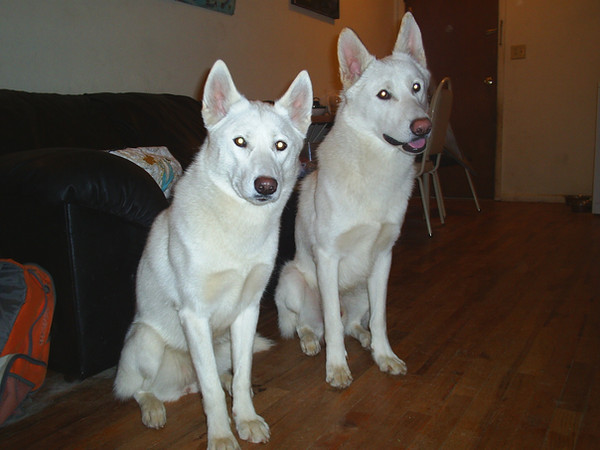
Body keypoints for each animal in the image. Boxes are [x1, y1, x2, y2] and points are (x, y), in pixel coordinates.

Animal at [114, 59, 312, 449]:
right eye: (240, 142)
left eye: (281, 146)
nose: (267, 186)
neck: (239, 226)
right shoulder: (195, 315)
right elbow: (211, 395)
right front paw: (221, 435)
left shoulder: (248, 311)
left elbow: (241, 377)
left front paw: (246, 419)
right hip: (146, 342)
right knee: (140, 389)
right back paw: (153, 409)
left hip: (221, 344)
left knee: (220, 375)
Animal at [274, 12, 431, 389]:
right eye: (384, 95)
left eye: (416, 88)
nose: (424, 127)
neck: (376, 169)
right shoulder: (328, 258)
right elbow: (331, 321)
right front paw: (336, 368)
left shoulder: (384, 257)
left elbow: (381, 319)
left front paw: (384, 355)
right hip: (292, 281)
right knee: (310, 325)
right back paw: (311, 343)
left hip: (361, 292)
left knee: (354, 324)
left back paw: (365, 339)